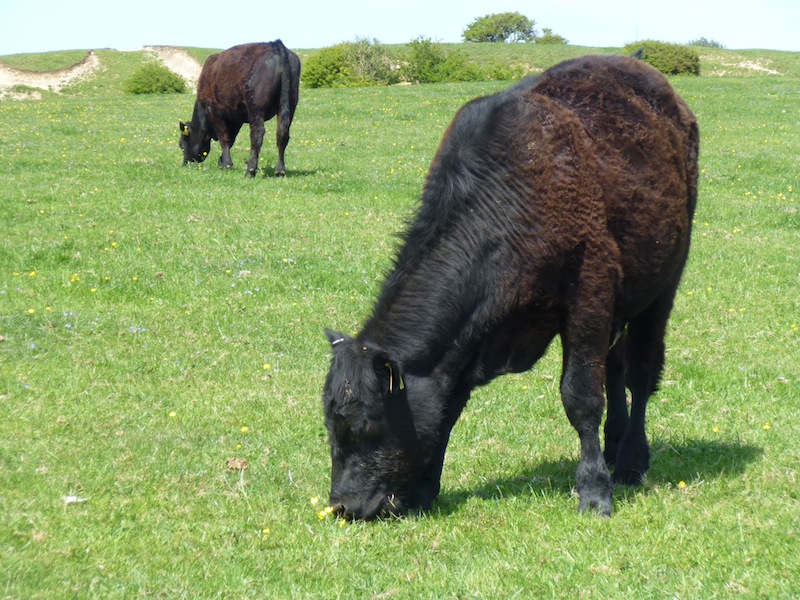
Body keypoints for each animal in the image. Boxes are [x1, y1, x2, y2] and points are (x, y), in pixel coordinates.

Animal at [178, 41, 300, 177]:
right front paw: (222, 161)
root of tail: (276, 45)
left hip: (256, 108)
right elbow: (231, 139)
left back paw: (250, 170)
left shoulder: (214, 113)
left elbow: (224, 139)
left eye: (181, 144)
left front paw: (227, 164)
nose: (185, 163)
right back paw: (280, 171)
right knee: (282, 133)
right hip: (290, 104)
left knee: (257, 134)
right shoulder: (235, 118)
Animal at [321, 55, 699, 519]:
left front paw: (594, 492)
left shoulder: (588, 296)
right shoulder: (472, 335)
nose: (343, 505)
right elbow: (448, 409)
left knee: (641, 373)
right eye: (329, 424)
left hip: (663, 284)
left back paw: (630, 460)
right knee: (615, 367)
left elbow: (580, 397)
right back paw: (614, 447)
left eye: (363, 424)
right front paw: (427, 490)